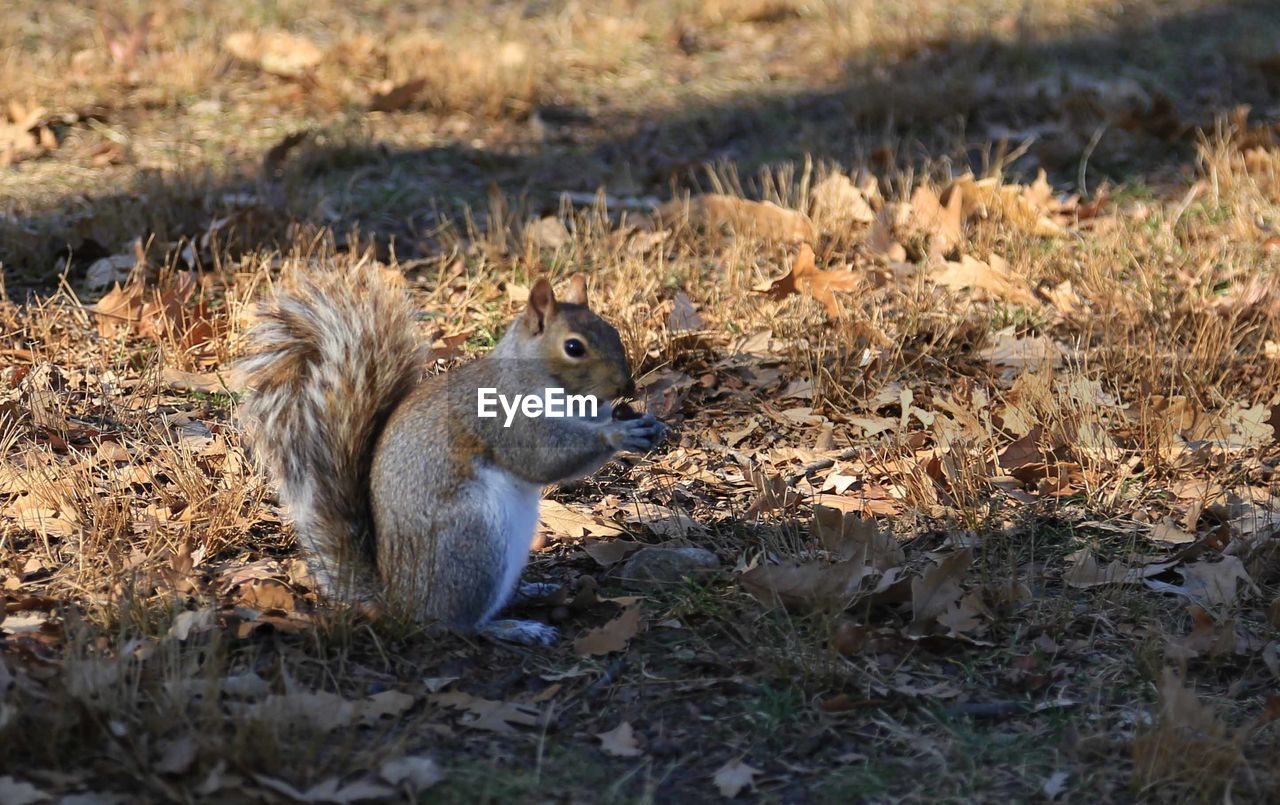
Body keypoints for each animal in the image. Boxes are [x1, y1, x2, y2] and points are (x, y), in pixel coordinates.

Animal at [236, 267, 670, 642]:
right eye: (574, 347)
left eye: (612, 330)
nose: (627, 387)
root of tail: (400, 603)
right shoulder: (505, 418)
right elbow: (543, 457)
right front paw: (618, 433)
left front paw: (645, 421)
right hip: (473, 542)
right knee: (455, 624)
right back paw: (512, 628)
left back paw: (532, 590)